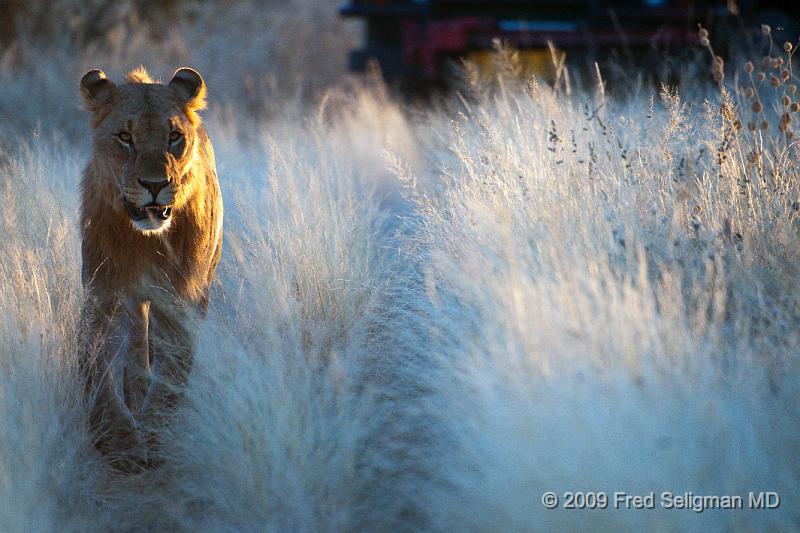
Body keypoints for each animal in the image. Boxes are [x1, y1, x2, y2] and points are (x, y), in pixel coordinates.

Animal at [79, 66, 222, 470]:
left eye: (174, 137)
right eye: (125, 137)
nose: (155, 185)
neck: (143, 239)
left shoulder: (183, 299)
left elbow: (172, 371)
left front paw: (156, 432)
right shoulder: (100, 294)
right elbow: (94, 367)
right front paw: (119, 440)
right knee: (137, 340)